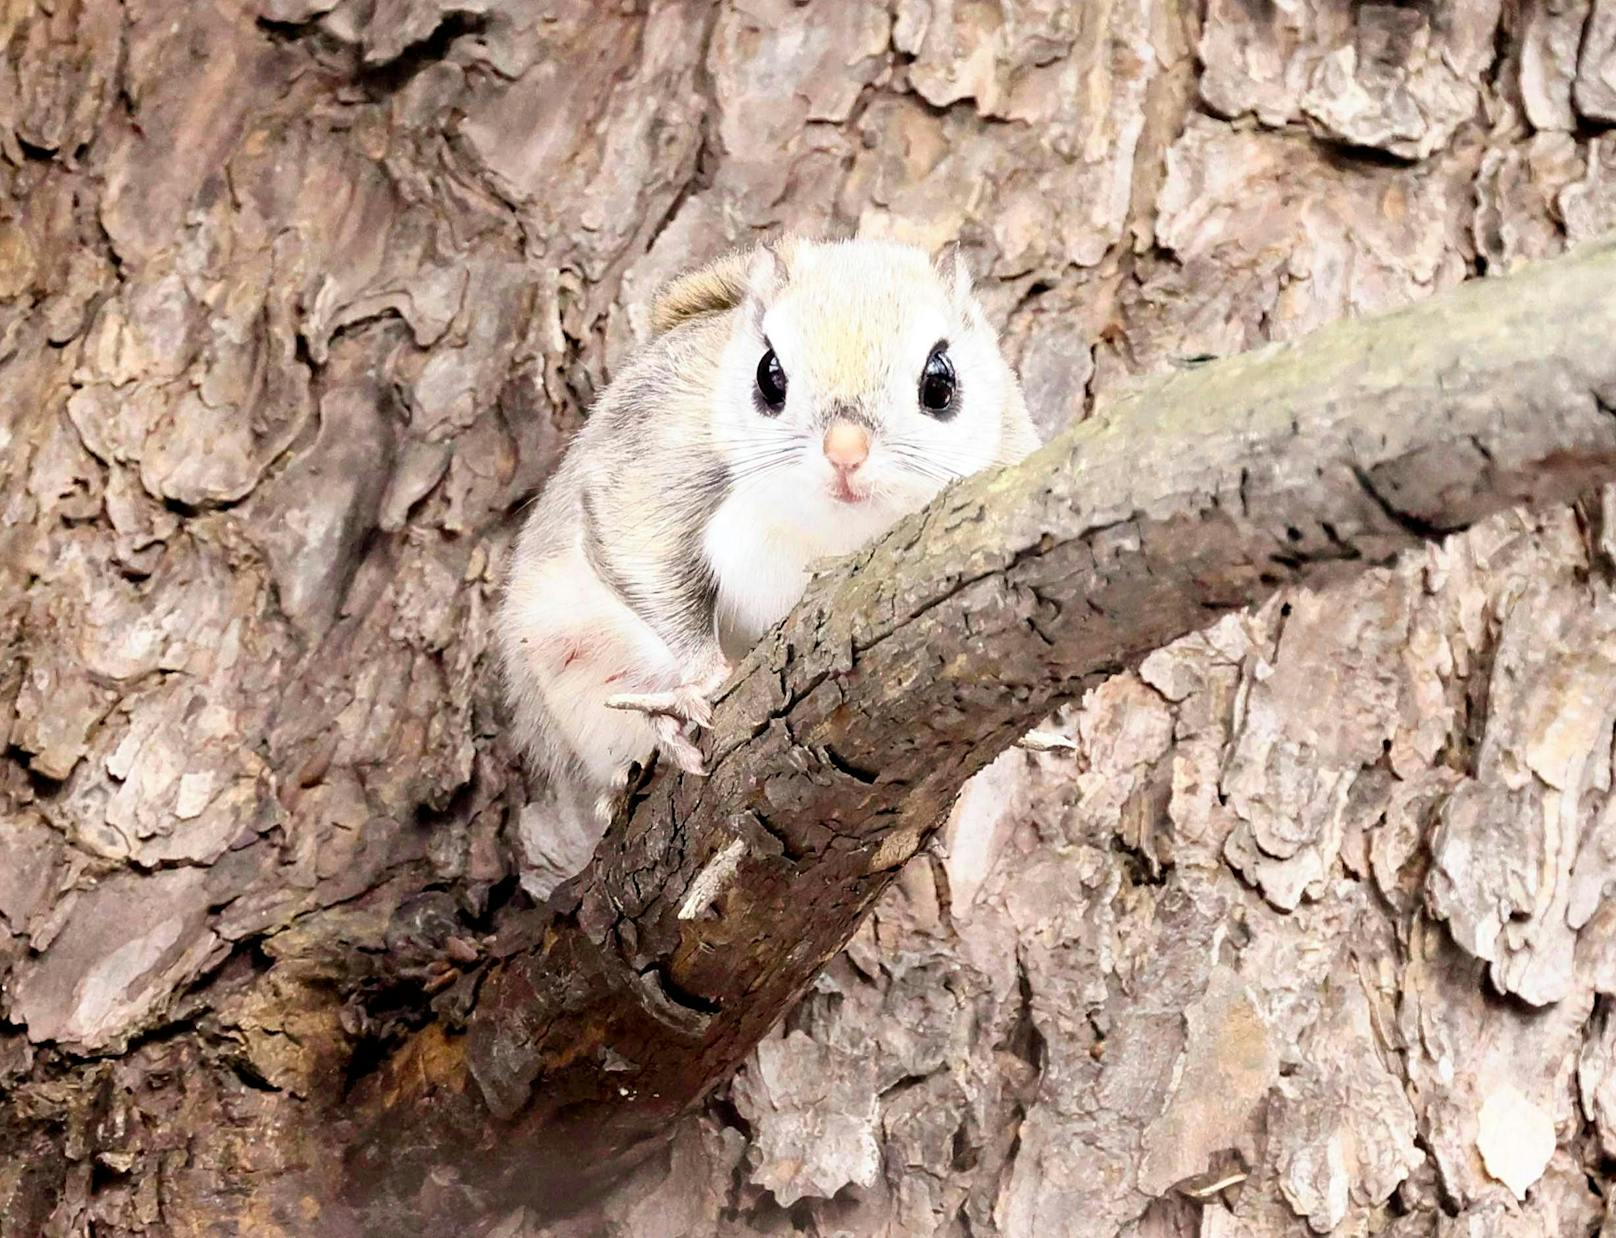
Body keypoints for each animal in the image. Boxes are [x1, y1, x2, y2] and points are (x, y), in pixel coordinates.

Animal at [497, 235, 1040, 879]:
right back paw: (656, 735)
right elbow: (641, 545)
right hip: (576, 662)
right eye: (768, 375)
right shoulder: (658, 451)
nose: (846, 452)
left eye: (940, 381)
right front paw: (704, 679)